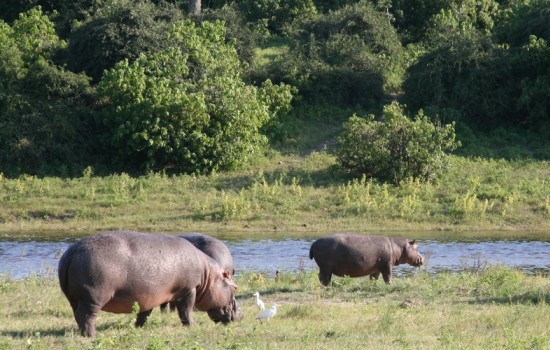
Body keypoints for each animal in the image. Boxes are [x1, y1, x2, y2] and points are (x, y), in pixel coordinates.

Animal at [57, 230, 244, 336]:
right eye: (235, 287)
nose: (242, 314)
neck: (208, 275)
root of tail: (71, 252)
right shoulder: (189, 289)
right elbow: (186, 311)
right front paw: (193, 326)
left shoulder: (149, 295)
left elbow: (144, 313)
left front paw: (138, 327)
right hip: (93, 297)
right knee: (86, 316)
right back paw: (92, 335)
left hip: (74, 299)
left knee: (77, 315)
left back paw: (83, 333)